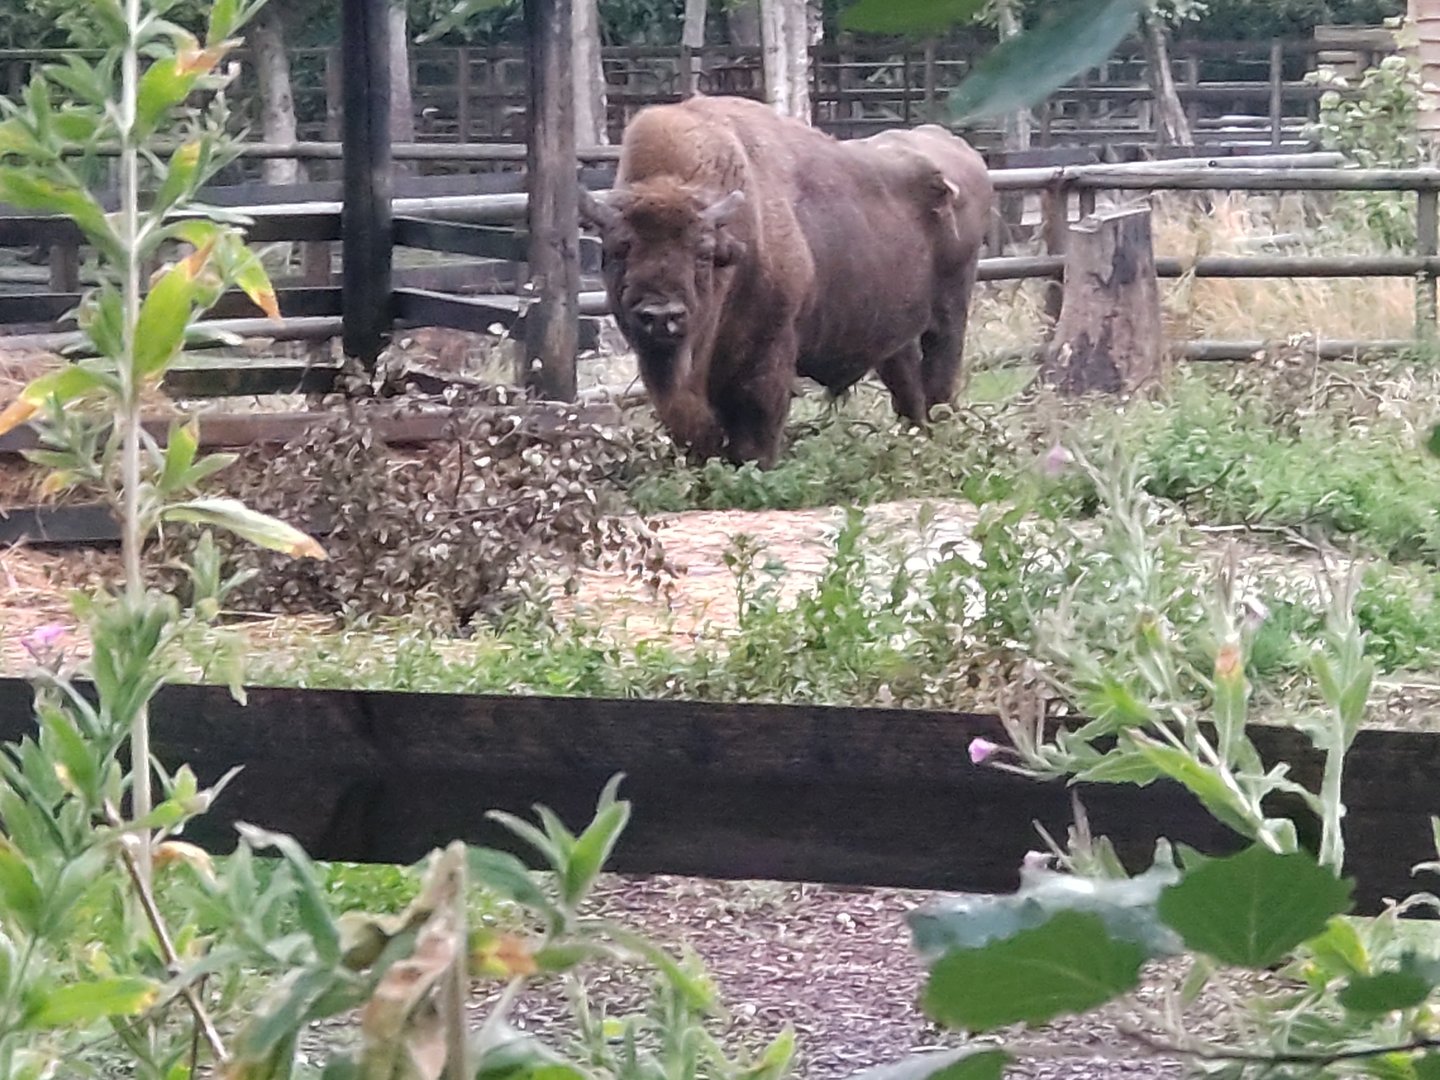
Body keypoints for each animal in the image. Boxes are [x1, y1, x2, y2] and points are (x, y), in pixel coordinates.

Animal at [580, 94, 993, 468]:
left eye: (703, 252)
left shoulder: (769, 352)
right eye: (618, 250)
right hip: (896, 333)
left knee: (940, 377)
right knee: (909, 387)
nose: (661, 315)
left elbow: (757, 426)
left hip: (950, 311)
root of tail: (961, 152)